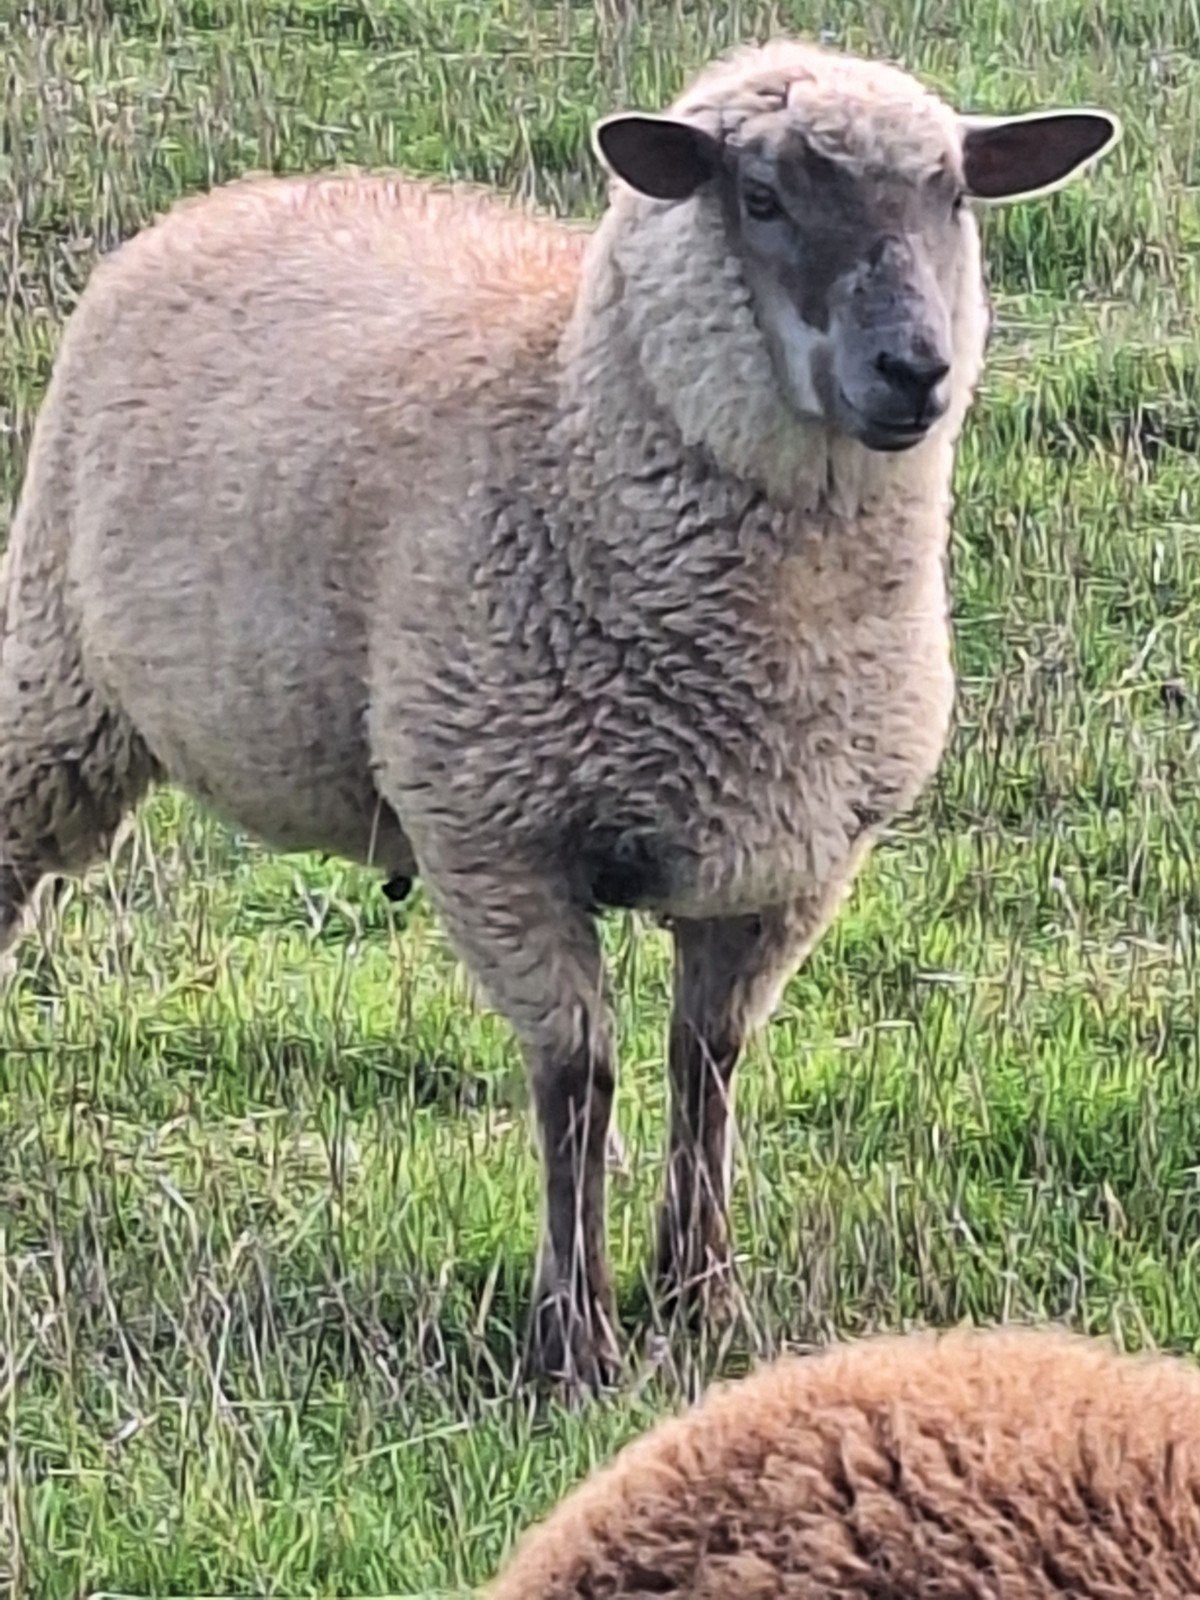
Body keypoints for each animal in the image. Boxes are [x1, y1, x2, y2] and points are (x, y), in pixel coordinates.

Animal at [0, 37, 1119, 1385]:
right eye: (759, 197)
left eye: (953, 194)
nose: (915, 369)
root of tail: (252, 188)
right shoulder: (496, 837)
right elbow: (577, 1078)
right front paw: (574, 1339)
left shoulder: (788, 862)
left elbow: (707, 1065)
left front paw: (702, 1297)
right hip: (55, 678)